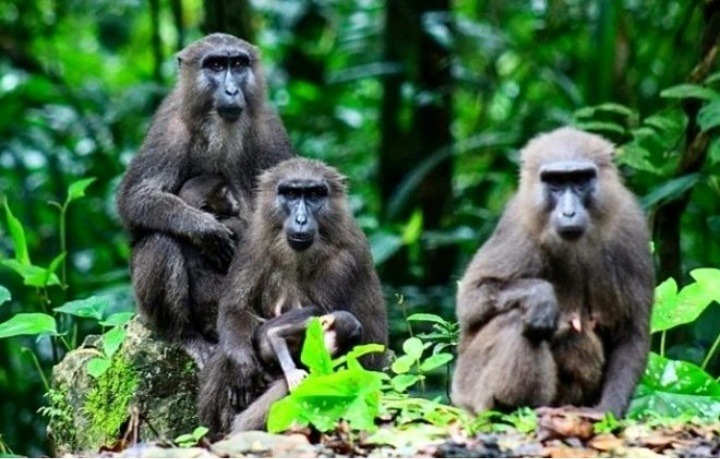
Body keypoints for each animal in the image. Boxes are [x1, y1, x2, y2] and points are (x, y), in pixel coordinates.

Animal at [116, 34, 294, 366]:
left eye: (238, 64)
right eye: (215, 65)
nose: (231, 90)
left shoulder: (270, 127)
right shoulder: (170, 128)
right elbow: (135, 198)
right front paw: (204, 228)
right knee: (161, 240)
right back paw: (186, 336)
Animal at [198, 158, 387, 434]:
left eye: (314, 194)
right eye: (291, 193)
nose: (300, 220)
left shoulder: (345, 261)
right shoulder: (253, 245)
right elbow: (236, 309)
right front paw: (242, 366)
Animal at [451, 127, 654, 418]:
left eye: (580, 180)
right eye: (555, 182)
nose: (568, 213)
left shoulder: (631, 226)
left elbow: (631, 330)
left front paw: (607, 412)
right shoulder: (519, 222)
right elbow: (473, 297)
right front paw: (540, 296)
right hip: (469, 385)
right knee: (518, 319)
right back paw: (508, 406)